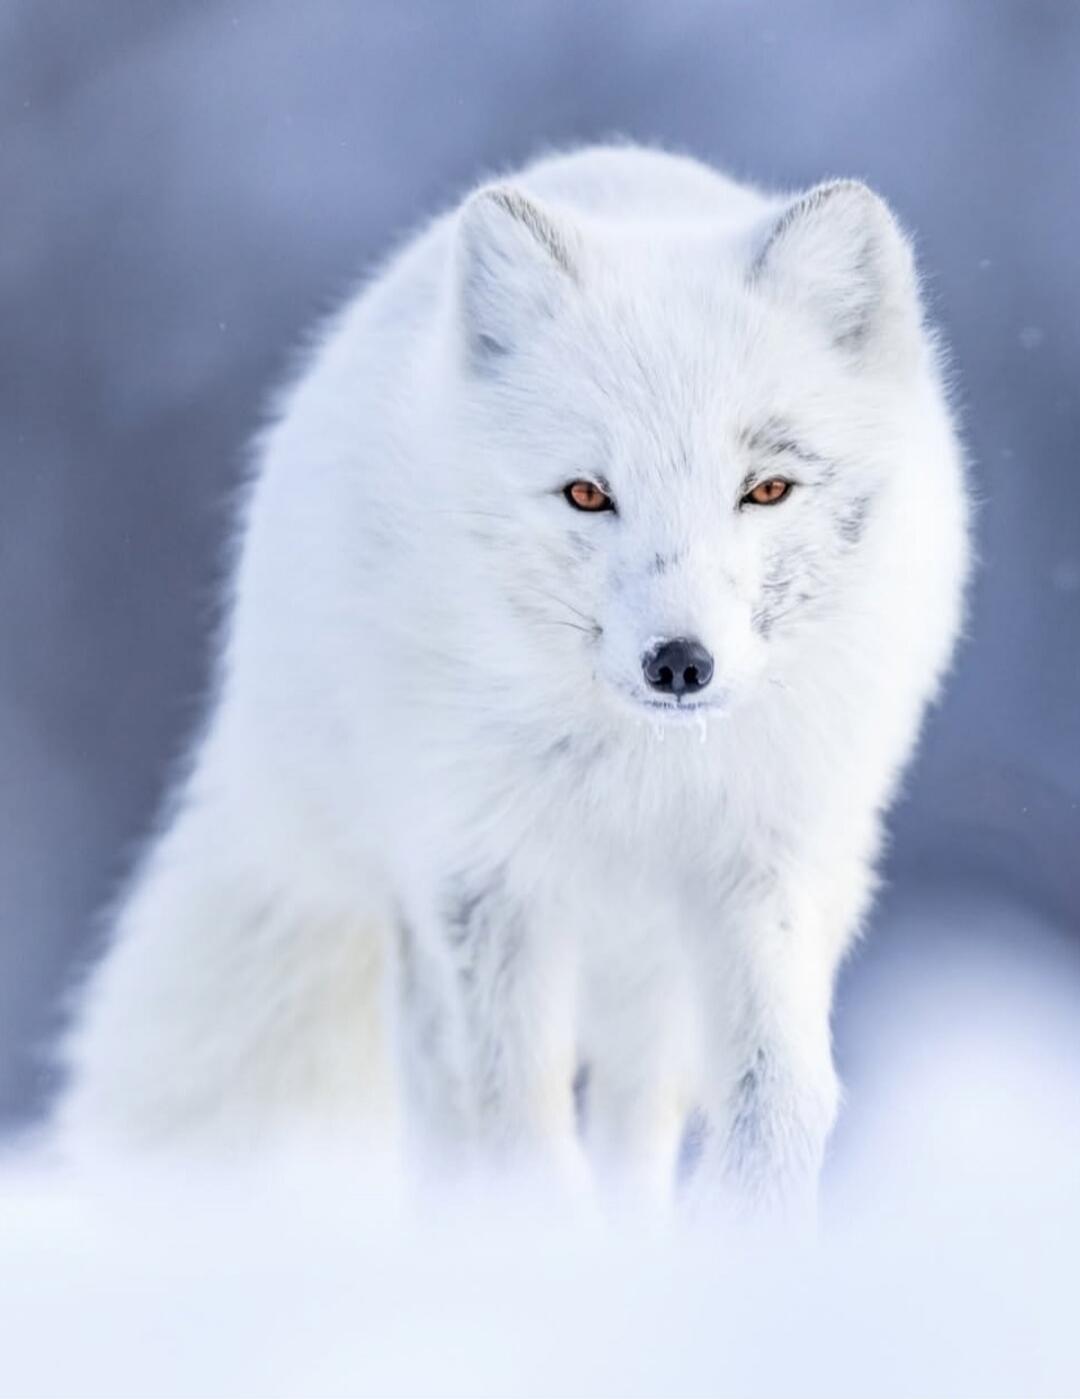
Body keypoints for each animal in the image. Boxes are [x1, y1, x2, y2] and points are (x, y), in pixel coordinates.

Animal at [60, 145, 969, 1214]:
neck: (644, 774)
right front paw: (534, 1242)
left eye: (767, 489)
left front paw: (743, 1235)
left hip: (656, 964)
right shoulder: (485, 877)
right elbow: (512, 1124)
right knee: (443, 1107)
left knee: (635, 1109)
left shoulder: (766, 864)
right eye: (587, 493)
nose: (680, 663)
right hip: (419, 906)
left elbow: (779, 1095)